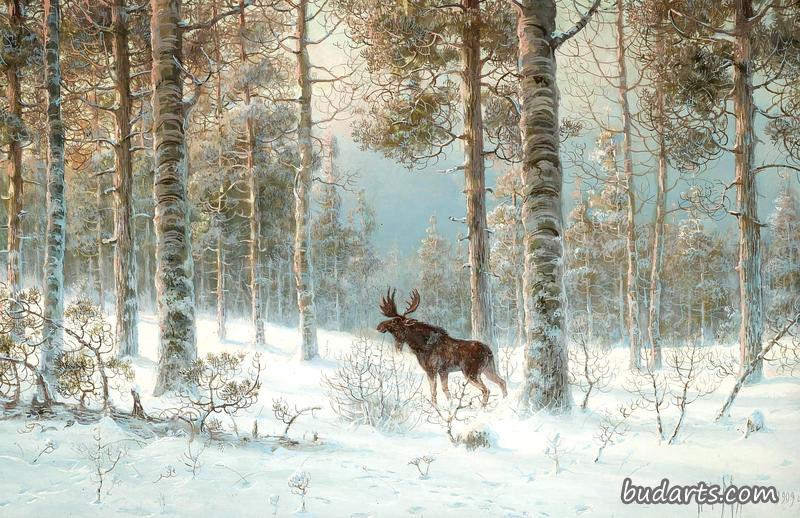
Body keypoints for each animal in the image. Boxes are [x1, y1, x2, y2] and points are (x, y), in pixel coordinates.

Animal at [376, 288, 507, 407]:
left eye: (394, 321)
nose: (379, 326)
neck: (420, 347)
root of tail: (489, 351)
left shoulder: (431, 369)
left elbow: (434, 391)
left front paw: (435, 407)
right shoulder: (443, 371)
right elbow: (446, 391)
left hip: (471, 373)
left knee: (486, 390)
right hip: (488, 370)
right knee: (502, 382)